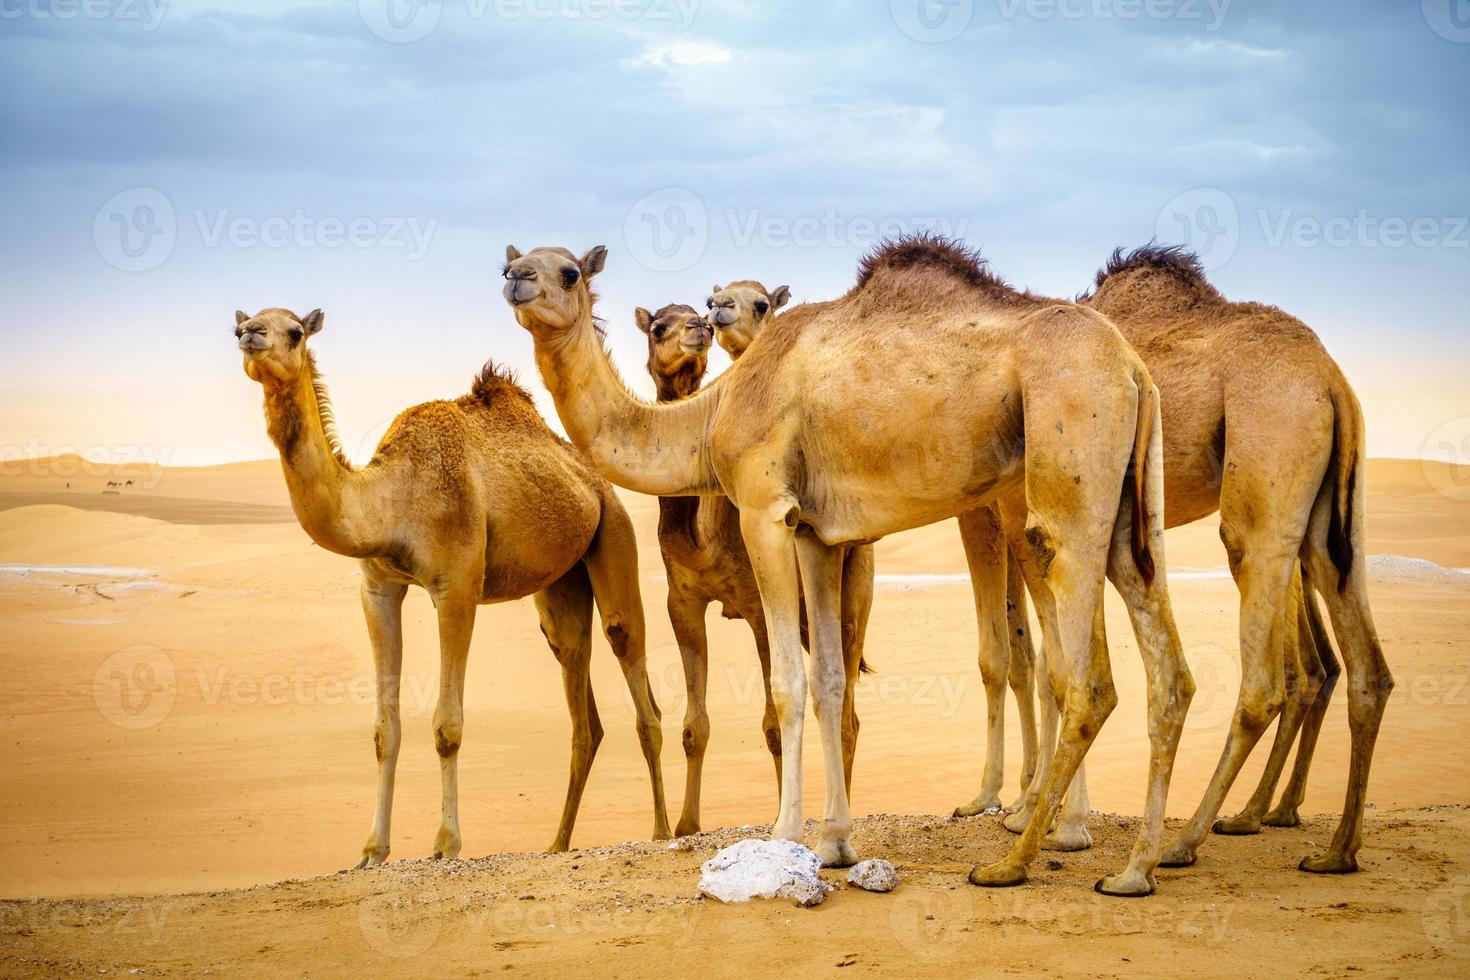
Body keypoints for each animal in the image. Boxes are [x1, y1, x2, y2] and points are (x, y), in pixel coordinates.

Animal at [235, 304, 673, 863]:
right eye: (243, 324)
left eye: (293, 331)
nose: (250, 335)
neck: (389, 501)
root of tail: (592, 478)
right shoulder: (377, 588)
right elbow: (384, 731)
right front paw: (371, 850)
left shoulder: (457, 585)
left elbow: (448, 726)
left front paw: (446, 843)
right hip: (560, 584)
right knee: (580, 700)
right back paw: (557, 843)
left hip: (612, 532)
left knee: (636, 677)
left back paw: (662, 831)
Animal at [640, 301, 870, 834]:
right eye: (658, 326)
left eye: (693, 314)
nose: (699, 328)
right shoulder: (681, 600)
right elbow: (694, 726)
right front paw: (686, 825)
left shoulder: (754, 600)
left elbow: (771, 724)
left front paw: (782, 817)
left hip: (857, 586)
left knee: (848, 707)